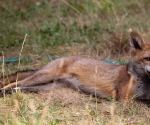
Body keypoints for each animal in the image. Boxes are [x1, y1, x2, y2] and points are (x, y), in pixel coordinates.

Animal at [0, 31, 150, 102]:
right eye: (147, 58)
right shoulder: (124, 98)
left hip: (47, 87)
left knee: (20, 88)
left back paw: (11, 92)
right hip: (43, 77)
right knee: (14, 83)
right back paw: (3, 91)